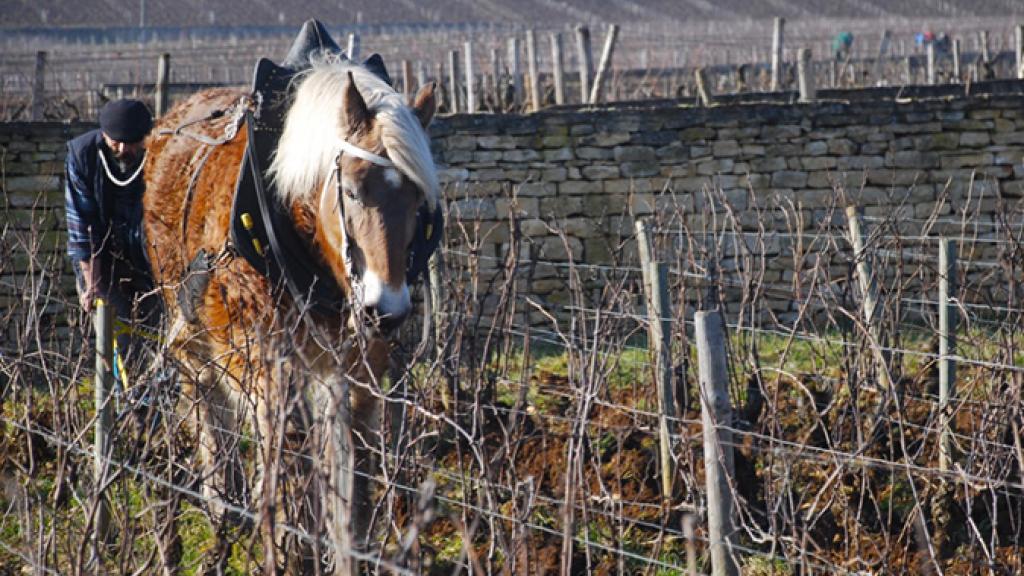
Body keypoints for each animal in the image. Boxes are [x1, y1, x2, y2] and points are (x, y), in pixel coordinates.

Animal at [139, 53, 436, 569]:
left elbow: (352, 480)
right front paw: (287, 552)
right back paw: (221, 510)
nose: (387, 310)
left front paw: (349, 554)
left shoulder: (357, 367)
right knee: (203, 395)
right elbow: (287, 470)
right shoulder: (267, 364)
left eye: (417, 199)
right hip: (189, 317)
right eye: (351, 190)